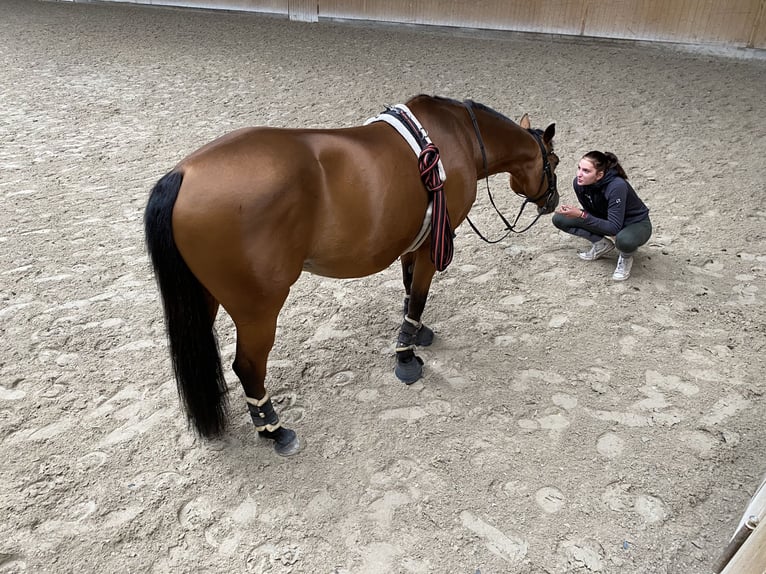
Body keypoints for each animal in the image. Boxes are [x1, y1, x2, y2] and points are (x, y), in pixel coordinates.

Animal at [144, 94, 559, 456]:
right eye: (552, 162)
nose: (552, 202)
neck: (458, 138)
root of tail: (183, 174)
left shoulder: (412, 241)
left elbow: (409, 290)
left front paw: (417, 333)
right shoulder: (431, 244)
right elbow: (419, 295)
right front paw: (406, 357)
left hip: (205, 299)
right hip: (257, 310)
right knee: (247, 366)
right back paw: (274, 429)